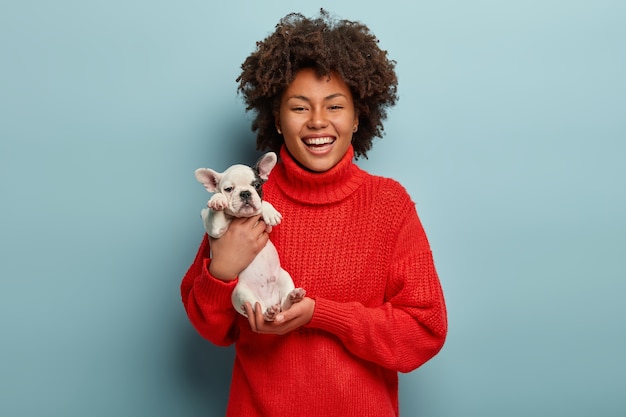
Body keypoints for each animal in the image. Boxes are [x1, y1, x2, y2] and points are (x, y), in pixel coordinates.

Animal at [194, 151, 304, 320]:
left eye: (257, 185)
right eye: (228, 189)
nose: (245, 193)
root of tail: (269, 301)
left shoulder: (267, 228)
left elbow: (262, 204)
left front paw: (270, 212)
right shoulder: (214, 227)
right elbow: (213, 211)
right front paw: (217, 199)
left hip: (284, 276)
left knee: (284, 305)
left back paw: (292, 297)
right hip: (241, 293)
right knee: (261, 311)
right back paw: (269, 313)